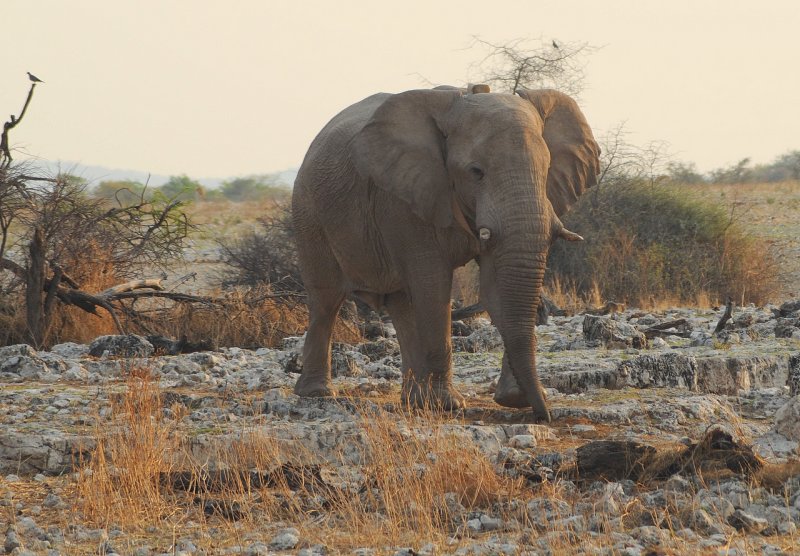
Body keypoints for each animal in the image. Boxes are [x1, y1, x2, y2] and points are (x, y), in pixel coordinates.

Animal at [290, 83, 596, 422]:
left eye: (546, 169)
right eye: (476, 172)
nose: (544, 415)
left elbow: (495, 288)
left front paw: (514, 399)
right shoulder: (404, 199)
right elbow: (433, 284)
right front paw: (448, 404)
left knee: (400, 304)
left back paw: (413, 400)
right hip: (308, 214)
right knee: (326, 300)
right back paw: (318, 394)